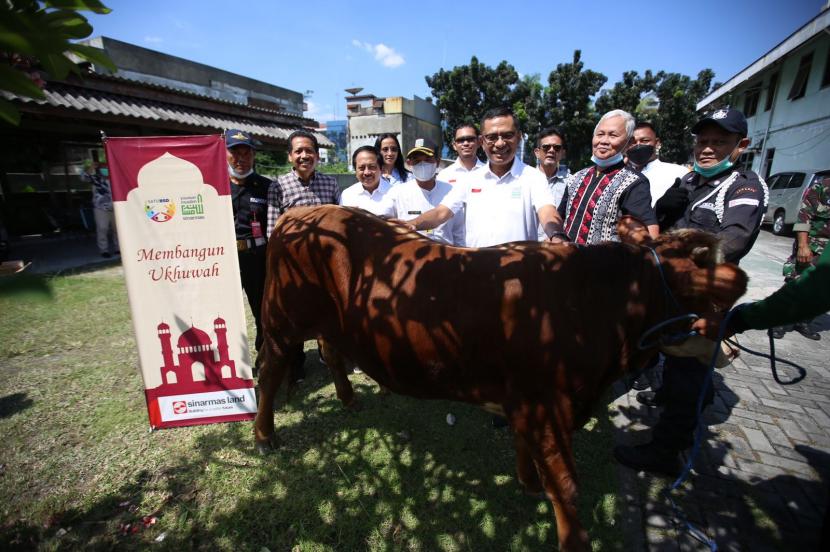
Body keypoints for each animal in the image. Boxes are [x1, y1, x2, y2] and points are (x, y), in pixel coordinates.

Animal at [255, 205, 748, 548]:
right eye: (716, 304)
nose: (732, 350)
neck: (590, 304)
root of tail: (302, 213)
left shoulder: (527, 401)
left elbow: (525, 448)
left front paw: (528, 483)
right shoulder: (547, 403)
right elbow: (567, 486)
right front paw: (571, 536)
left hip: (330, 323)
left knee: (331, 353)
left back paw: (347, 398)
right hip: (281, 317)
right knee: (270, 367)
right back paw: (264, 435)